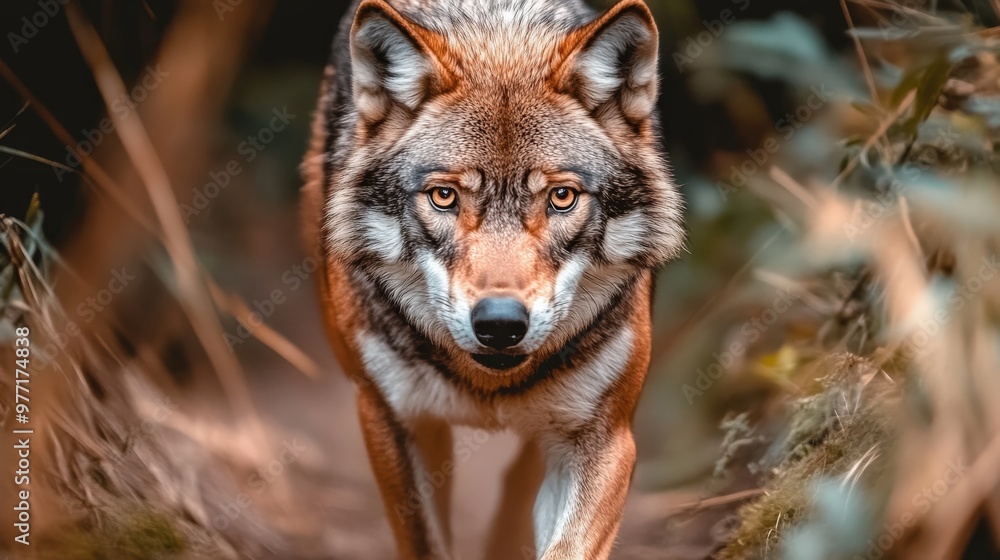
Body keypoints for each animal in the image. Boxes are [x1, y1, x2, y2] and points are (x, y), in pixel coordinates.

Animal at [300, 0, 684, 557]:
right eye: (444, 196)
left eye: (562, 197)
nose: (500, 323)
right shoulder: (390, 420)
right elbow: (425, 542)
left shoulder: (607, 438)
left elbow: (566, 544)